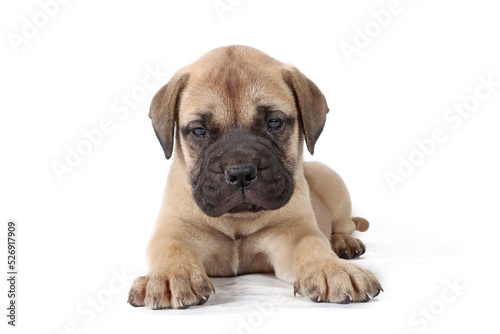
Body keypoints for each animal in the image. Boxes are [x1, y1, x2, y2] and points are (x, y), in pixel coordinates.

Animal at [127, 45, 380, 310]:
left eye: (274, 123)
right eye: (199, 131)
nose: (240, 173)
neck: (237, 220)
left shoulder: (294, 232)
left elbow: (312, 244)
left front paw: (331, 269)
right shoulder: (174, 230)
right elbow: (172, 248)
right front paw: (171, 274)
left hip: (332, 182)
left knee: (344, 226)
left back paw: (344, 242)